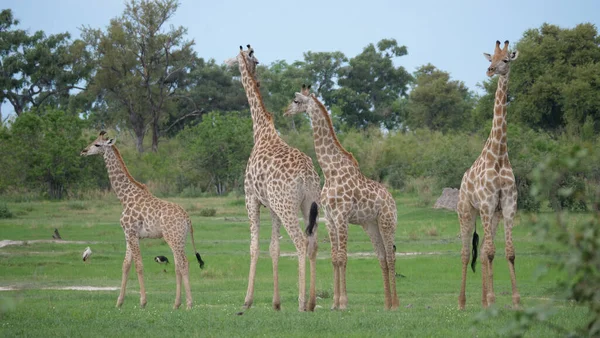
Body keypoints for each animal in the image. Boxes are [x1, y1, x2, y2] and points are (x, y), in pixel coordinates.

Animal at [81, 131, 205, 308]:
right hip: (180, 238)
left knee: (183, 263)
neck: (124, 197)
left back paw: (189, 304)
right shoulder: (129, 235)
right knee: (178, 265)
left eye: (97, 144)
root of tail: (188, 219)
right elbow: (125, 265)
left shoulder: (131, 233)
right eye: (92, 141)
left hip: (173, 237)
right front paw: (119, 302)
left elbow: (138, 265)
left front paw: (143, 302)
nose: (83, 151)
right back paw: (176, 304)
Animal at [231, 45, 324, 314]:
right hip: (308, 204)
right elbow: (274, 248)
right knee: (314, 242)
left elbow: (254, 246)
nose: (230, 63)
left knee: (301, 241)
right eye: (255, 60)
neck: (261, 130)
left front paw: (247, 300)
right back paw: (311, 302)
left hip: (287, 206)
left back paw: (302, 303)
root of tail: (307, 176)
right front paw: (276, 302)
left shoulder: (251, 198)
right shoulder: (271, 205)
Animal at [284, 86, 398, 310]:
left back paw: (396, 304)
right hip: (370, 225)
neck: (330, 171)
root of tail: (393, 201)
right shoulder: (330, 219)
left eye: (295, 100)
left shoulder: (342, 217)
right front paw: (335, 303)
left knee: (390, 257)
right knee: (381, 257)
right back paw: (387, 304)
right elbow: (335, 258)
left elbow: (344, 258)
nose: (285, 112)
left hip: (386, 222)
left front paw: (344, 302)